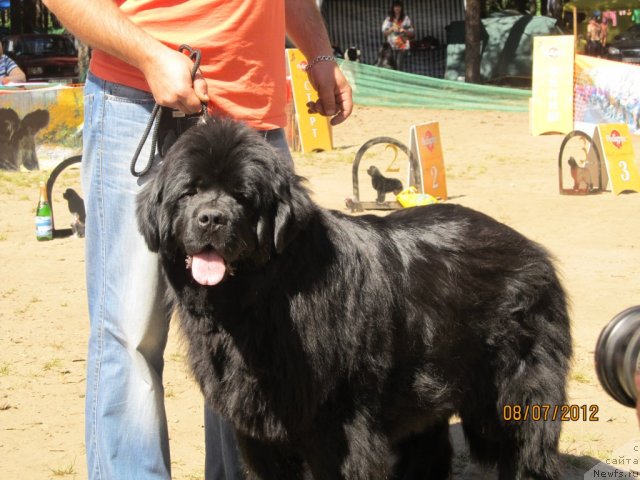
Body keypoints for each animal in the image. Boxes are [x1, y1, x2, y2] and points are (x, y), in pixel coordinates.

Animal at [135, 116, 568, 480]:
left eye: (242, 196)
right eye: (189, 192)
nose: (211, 218)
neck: (264, 300)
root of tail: (531, 248)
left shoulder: (340, 427)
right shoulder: (259, 435)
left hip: (513, 395)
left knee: (528, 450)